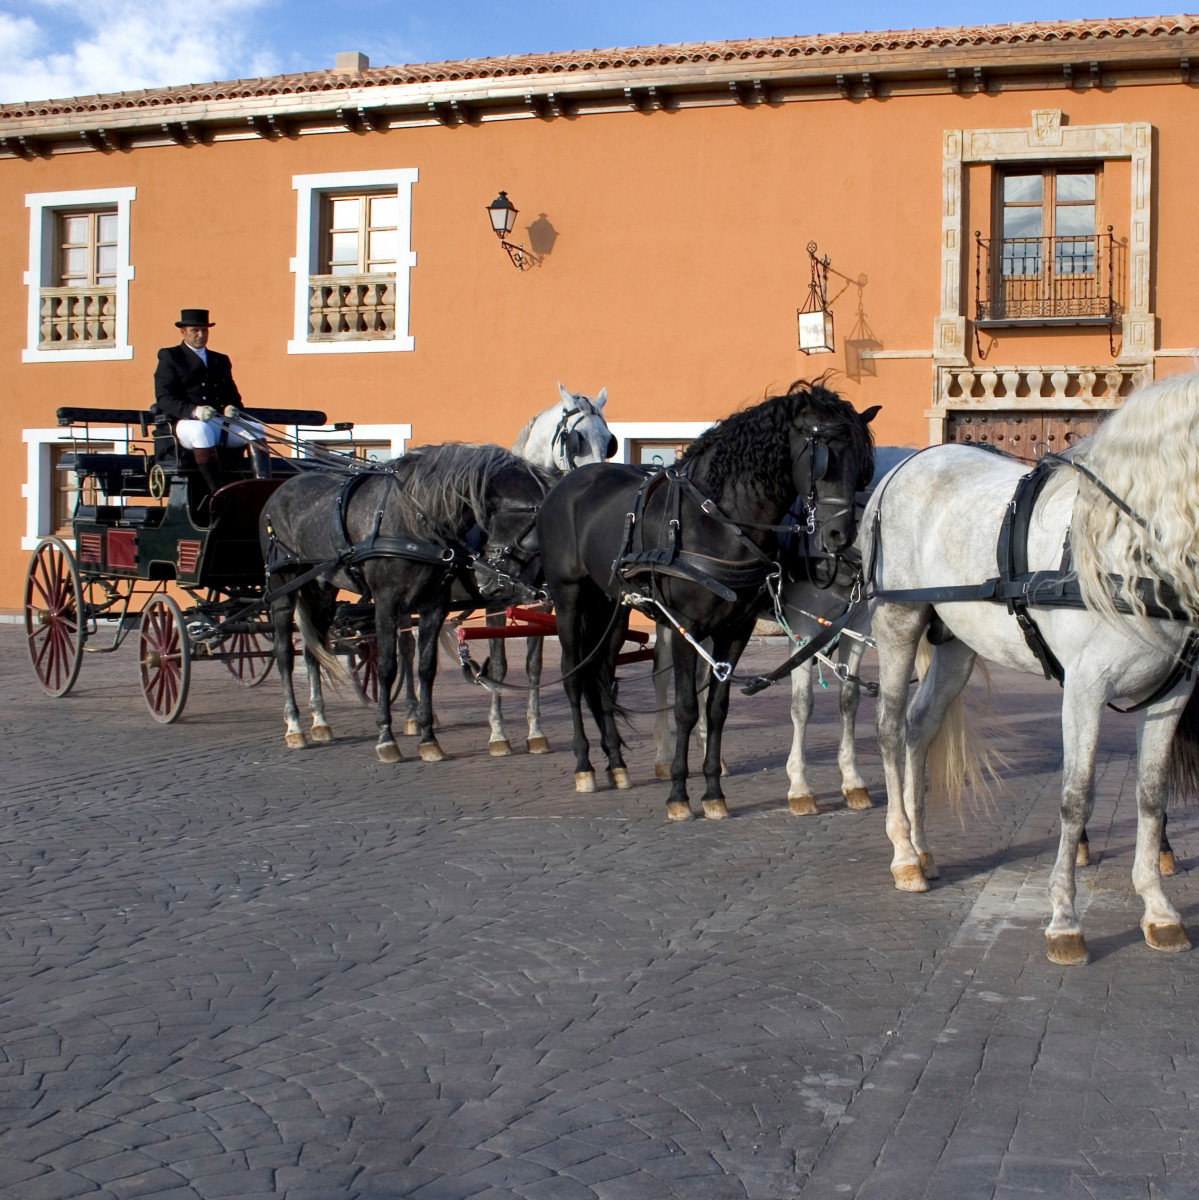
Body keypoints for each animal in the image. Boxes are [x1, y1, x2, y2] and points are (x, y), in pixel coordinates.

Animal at [260, 446, 549, 763]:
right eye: (487, 519)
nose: (489, 579)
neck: (415, 520)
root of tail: (280, 490)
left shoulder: (436, 603)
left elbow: (428, 667)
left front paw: (429, 738)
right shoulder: (388, 601)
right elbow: (388, 666)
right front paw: (387, 739)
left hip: (322, 590)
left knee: (316, 651)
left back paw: (322, 722)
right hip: (283, 588)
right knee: (285, 653)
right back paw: (295, 726)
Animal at [540, 379, 878, 820]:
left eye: (864, 466)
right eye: (825, 457)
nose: (839, 536)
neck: (718, 522)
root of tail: (571, 481)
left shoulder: (739, 629)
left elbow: (718, 707)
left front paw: (714, 791)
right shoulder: (704, 625)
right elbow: (689, 706)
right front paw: (681, 794)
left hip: (613, 605)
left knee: (602, 672)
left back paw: (617, 763)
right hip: (571, 595)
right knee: (577, 672)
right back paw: (588, 766)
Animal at [859, 374, 1199, 964]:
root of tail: (905, 466)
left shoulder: (1171, 694)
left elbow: (1151, 796)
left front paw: (1158, 908)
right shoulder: (1084, 689)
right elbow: (1076, 798)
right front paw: (1064, 918)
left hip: (956, 643)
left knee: (920, 727)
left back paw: (923, 849)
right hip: (898, 620)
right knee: (889, 728)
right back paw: (903, 852)